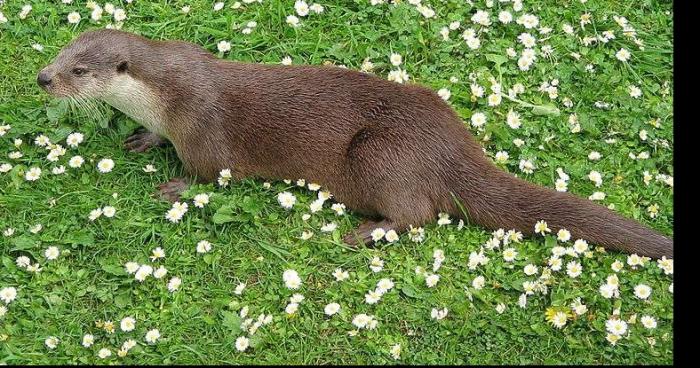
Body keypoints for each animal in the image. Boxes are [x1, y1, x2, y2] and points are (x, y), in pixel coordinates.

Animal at [38, 30, 672, 258]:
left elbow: (209, 175)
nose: (43, 78)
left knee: (420, 213)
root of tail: (453, 148)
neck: (167, 92)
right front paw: (142, 140)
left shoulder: (202, 129)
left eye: (79, 70)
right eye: (61, 53)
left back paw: (367, 231)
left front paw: (172, 187)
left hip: (380, 153)